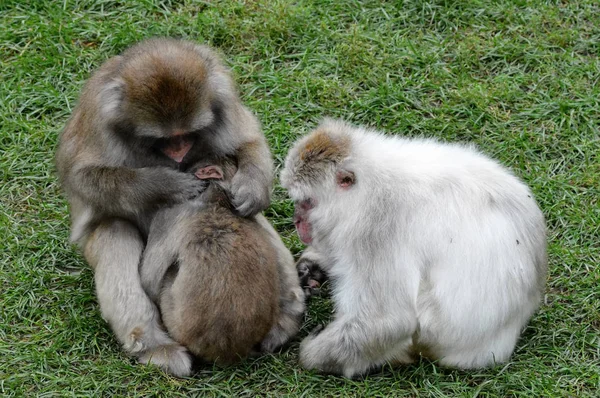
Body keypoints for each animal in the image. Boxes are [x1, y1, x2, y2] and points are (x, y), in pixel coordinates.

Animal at [278, 117, 548, 376]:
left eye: (307, 202)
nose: (296, 220)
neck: (369, 187)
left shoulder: (374, 232)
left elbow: (388, 320)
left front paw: (311, 355)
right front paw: (313, 266)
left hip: (436, 335)